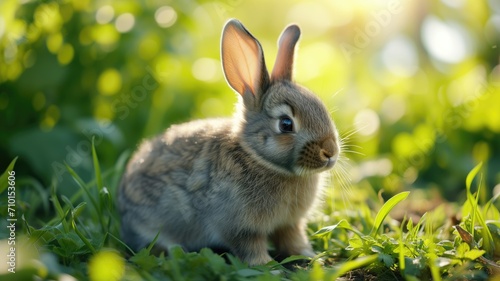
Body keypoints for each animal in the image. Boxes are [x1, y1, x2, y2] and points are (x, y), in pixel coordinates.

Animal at [119, 18, 342, 264]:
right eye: (286, 124)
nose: (330, 151)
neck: (259, 158)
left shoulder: (289, 224)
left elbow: (292, 239)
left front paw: (310, 257)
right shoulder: (238, 227)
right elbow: (250, 247)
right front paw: (267, 265)